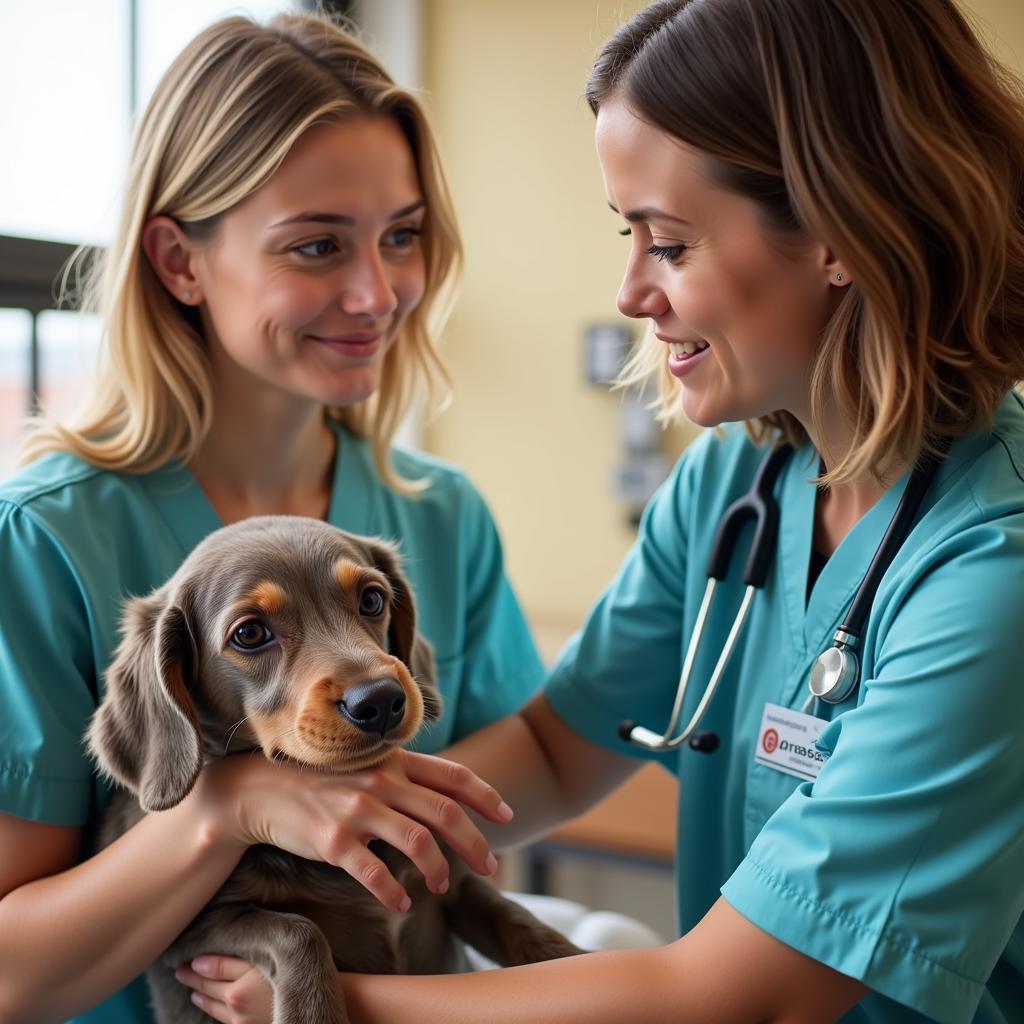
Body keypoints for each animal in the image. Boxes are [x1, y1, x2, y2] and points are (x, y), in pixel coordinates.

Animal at [86, 520, 585, 1024]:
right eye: (250, 633)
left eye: (372, 600)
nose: (380, 700)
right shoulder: (185, 938)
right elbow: (297, 930)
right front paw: (314, 1012)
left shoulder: (456, 884)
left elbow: (524, 926)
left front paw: (577, 961)